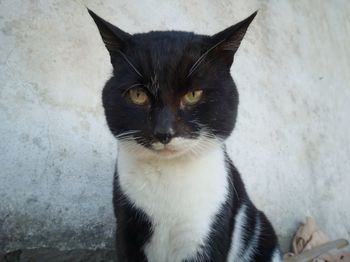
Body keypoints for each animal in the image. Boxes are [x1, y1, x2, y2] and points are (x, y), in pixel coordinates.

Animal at [88, 9, 282, 260]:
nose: (163, 131)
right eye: (138, 95)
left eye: (193, 94)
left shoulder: (210, 230)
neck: (169, 177)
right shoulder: (125, 227)